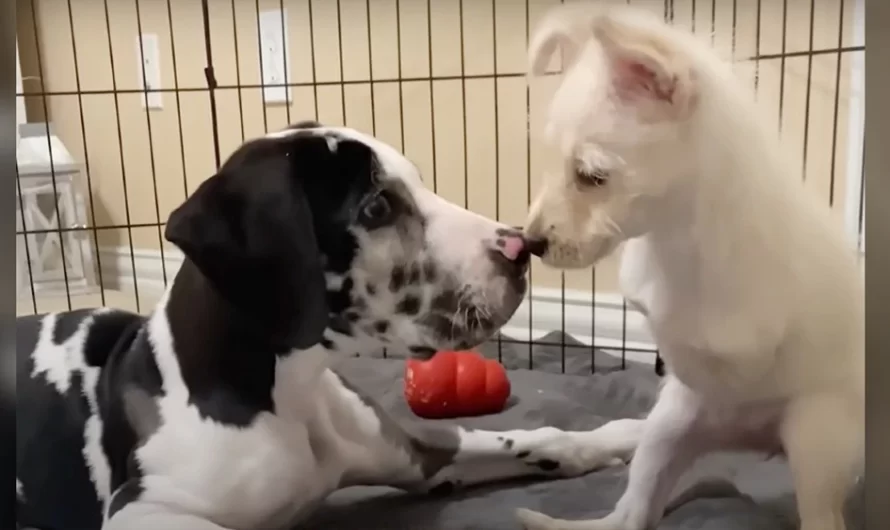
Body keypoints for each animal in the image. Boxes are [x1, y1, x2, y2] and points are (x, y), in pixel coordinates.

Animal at [12, 121, 640, 524]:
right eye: (376, 208)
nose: (522, 248)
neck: (289, 392)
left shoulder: (418, 452)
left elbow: (539, 436)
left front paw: (623, 437)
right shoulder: (145, 509)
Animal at [516, 4, 864, 528]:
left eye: (592, 176)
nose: (530, 243)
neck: (676, 240)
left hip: (815, 442)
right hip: (674, 430)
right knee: (633, 508)